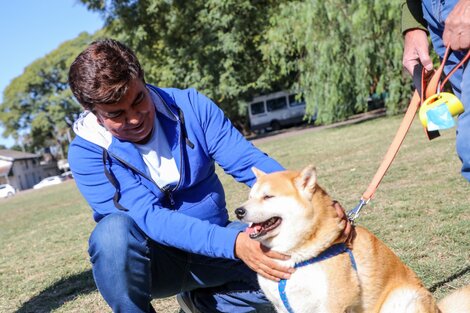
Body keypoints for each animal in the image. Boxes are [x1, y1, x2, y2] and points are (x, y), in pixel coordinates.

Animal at [235, 165, 470, 310]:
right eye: (250, 197)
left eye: (268, 197)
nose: (238, 211)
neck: (296, 257)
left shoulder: (334, 303)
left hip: (402, 298)